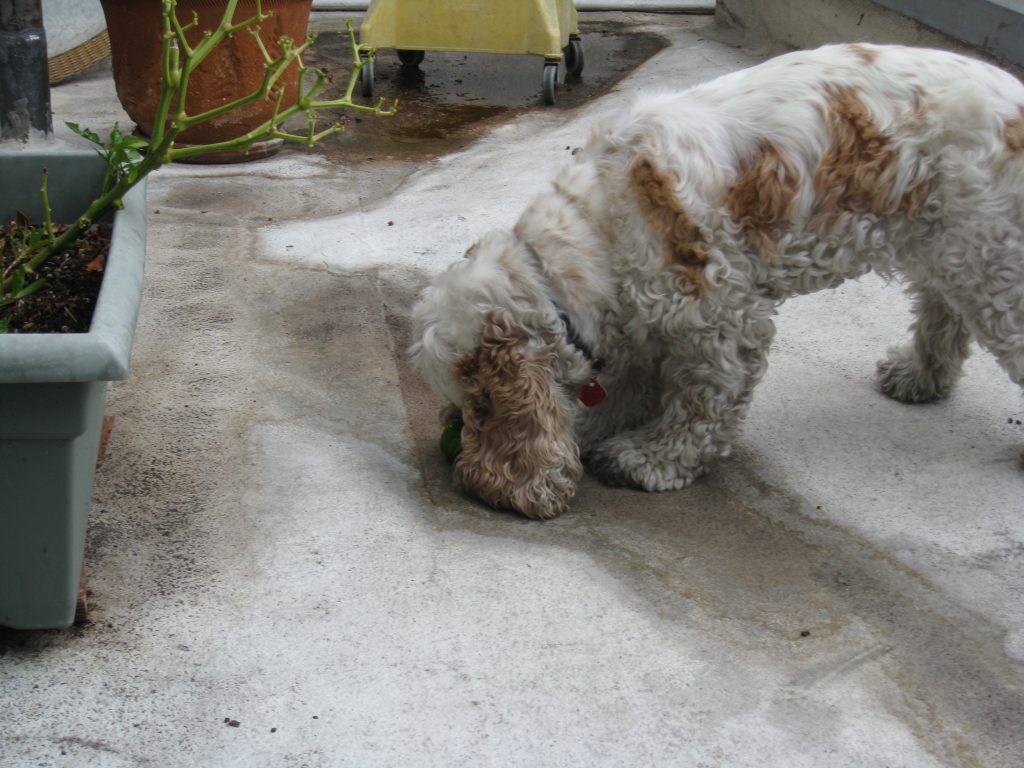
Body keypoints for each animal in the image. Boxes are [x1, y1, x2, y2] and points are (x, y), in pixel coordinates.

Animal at [407, 43, 1024, 524]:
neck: (591, 235)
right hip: (942, 243)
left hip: (995, 265)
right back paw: (917, 377)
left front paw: (648, 459)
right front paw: (597, 425)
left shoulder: (721, 321)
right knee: (943, 310)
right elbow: (632, 383)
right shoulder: (643, 314)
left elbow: (700, 405)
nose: (467, 467)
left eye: (479, 406)